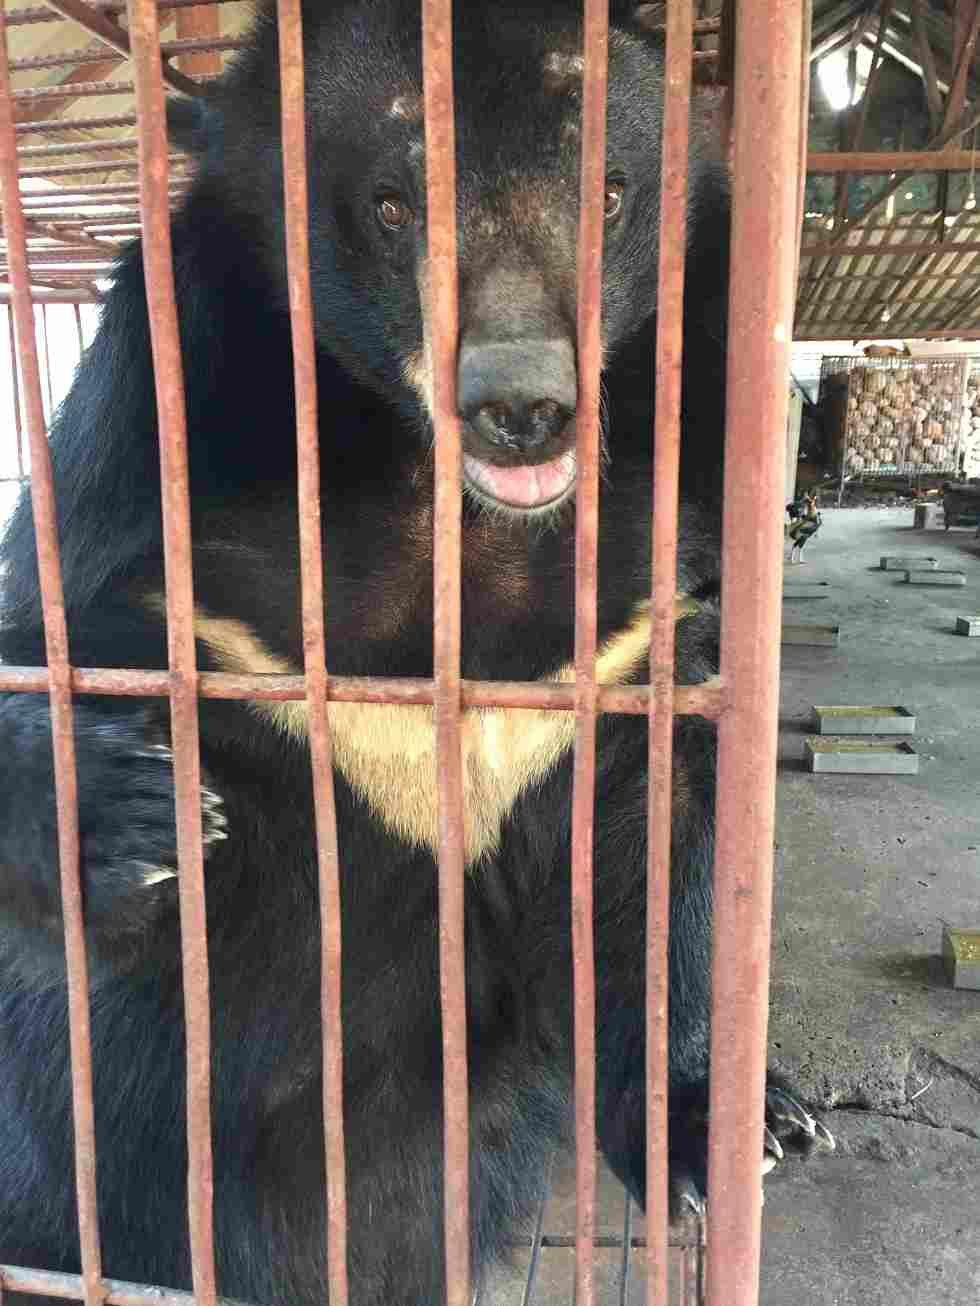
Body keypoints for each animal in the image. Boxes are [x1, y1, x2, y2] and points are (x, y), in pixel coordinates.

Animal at [0, 3, 832, 1303]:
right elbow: (42, 633)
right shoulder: (152, 436)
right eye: (391, 205)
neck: (460, 519)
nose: (521, 406)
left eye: (606, 190)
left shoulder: (633, 620)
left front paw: (736, 1127)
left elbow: (669, 846)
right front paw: (137, 813)